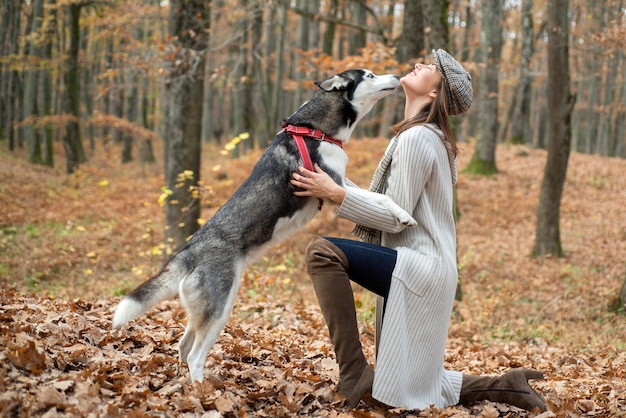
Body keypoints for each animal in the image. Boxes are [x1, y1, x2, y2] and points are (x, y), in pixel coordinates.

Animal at [112, 69, 414, 382]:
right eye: (370, 75)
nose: (397, 74)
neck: (315, 130)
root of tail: (189, 250)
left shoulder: (339, 183)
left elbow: (373, 194)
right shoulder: (332, 186)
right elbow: (379, 196)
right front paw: (404, 215)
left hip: (205, 308)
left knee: (183, 347)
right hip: (220, 306)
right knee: (195, 355)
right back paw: (203, 389)